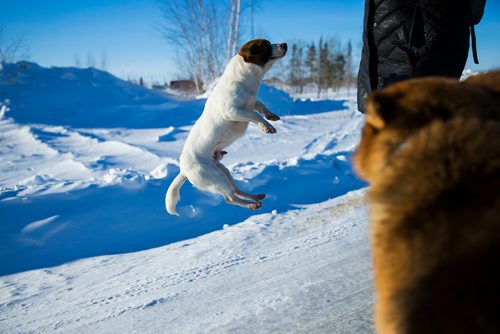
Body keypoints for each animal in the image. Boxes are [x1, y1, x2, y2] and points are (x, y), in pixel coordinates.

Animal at [166, 39, 288, 217]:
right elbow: (255, 115)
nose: (285, 44)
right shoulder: (233, 111)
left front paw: (271, 116)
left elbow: (260, 106)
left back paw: (255, 196)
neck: (247, 79)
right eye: (266, 45)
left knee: (236, 190)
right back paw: (252, 205)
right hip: (215, 178)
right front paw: (267, 127)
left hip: (223, 171)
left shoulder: (251, 103)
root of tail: (184, 170)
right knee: (229, 198)